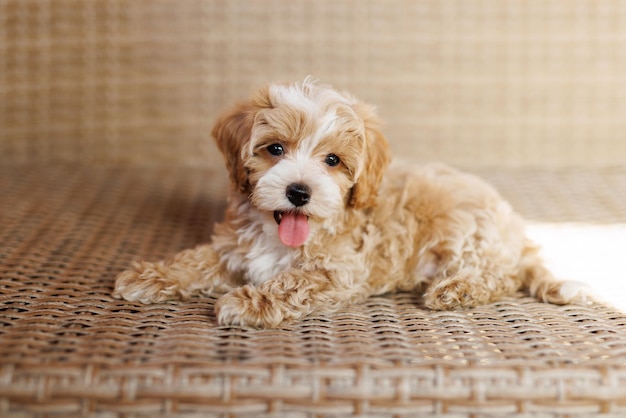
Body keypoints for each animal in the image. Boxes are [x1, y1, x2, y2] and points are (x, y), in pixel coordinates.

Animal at [113, 77, 588, 326]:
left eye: (333, 160)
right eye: (275, 149)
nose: (299, 192)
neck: (279, 233)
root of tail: (516, 232)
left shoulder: (338, 274)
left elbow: (291, 283)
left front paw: (246, 302)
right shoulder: (233, 248)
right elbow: (196, 261)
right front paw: (149, 276)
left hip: (466, 233)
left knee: (499, 276)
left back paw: (455, 289)